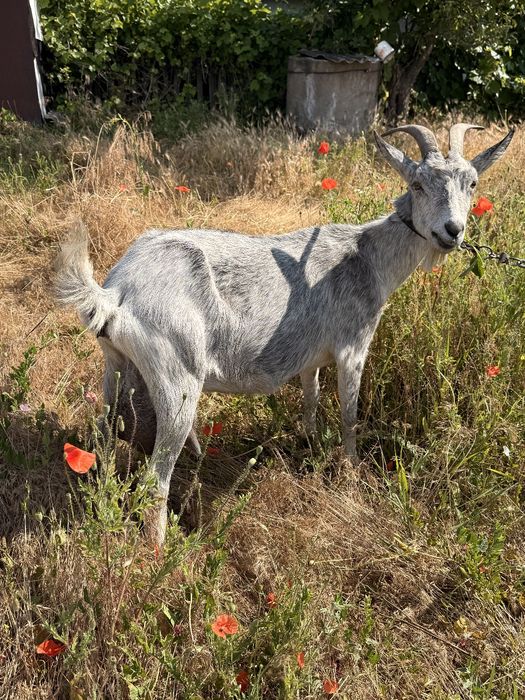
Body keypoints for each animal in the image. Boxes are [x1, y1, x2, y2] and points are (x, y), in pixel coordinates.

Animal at [55, 123, 514, 544]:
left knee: (105, 440)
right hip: (177, 378)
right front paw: (351, 473)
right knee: (156, 478)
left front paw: (309, 445)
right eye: (417, 184)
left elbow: (311, 399)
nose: (452, 231)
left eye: (473, 183)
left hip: (116, 368)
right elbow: (349, 416)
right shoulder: (353, 347)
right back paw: (161, 553)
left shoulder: (312, 358)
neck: (367, 258)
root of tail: (115, 292)